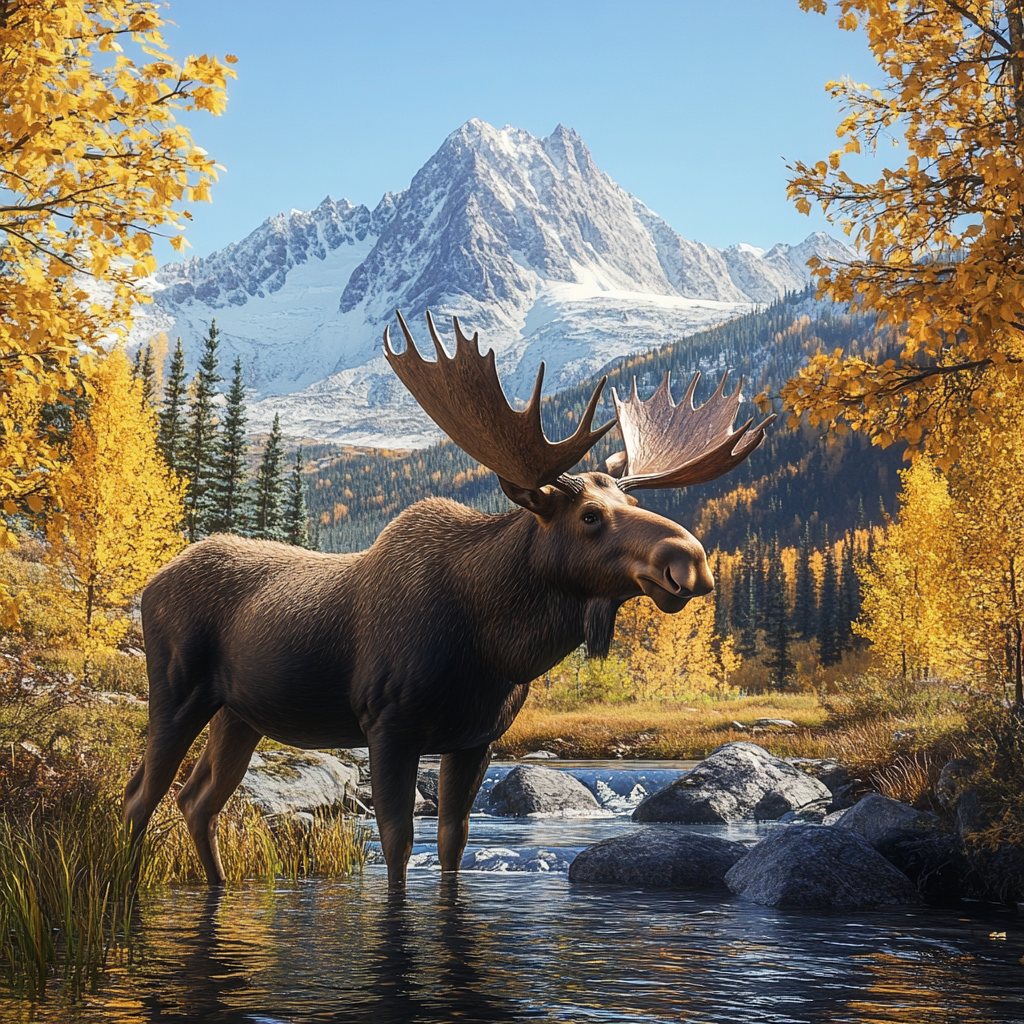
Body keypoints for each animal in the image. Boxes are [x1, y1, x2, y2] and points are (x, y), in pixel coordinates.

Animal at [123, 311, 774, 889]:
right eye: (590, 515)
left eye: (630, 501)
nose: (691, 560)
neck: (493, 646)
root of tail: (150, 585)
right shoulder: (387, 722)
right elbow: (396, 843)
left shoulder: (475, 738)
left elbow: (453, 843)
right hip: (177, 691)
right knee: (140, 794)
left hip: (239, 713)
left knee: (197, 800)